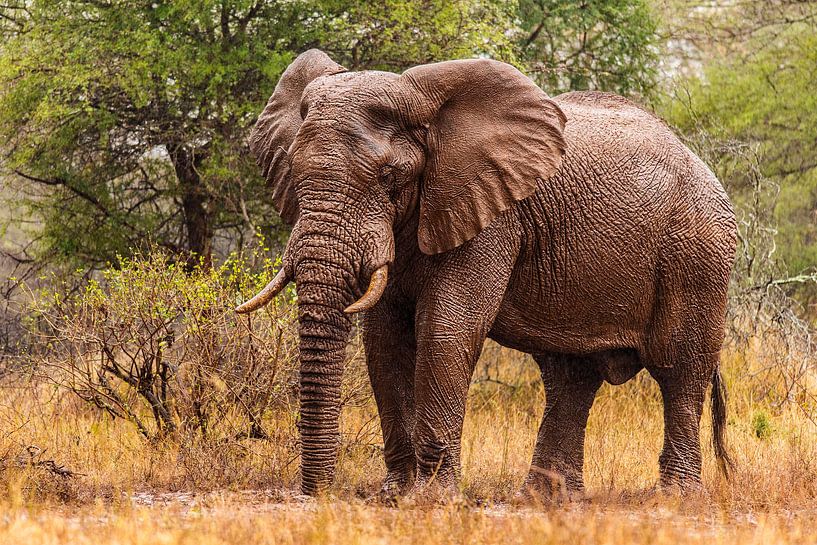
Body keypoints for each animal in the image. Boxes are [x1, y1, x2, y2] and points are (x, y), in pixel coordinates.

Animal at [236, 49, 737, 500]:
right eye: (294, 170)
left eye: (388, 176)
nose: (313, 496)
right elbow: (384, 341)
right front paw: (394, 496)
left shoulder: (493, 213)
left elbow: (446, 329)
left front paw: (432, 500)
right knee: (569, 377)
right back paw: (545, 500)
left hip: (698, 255)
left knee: (679, 370)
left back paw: (675, 497)